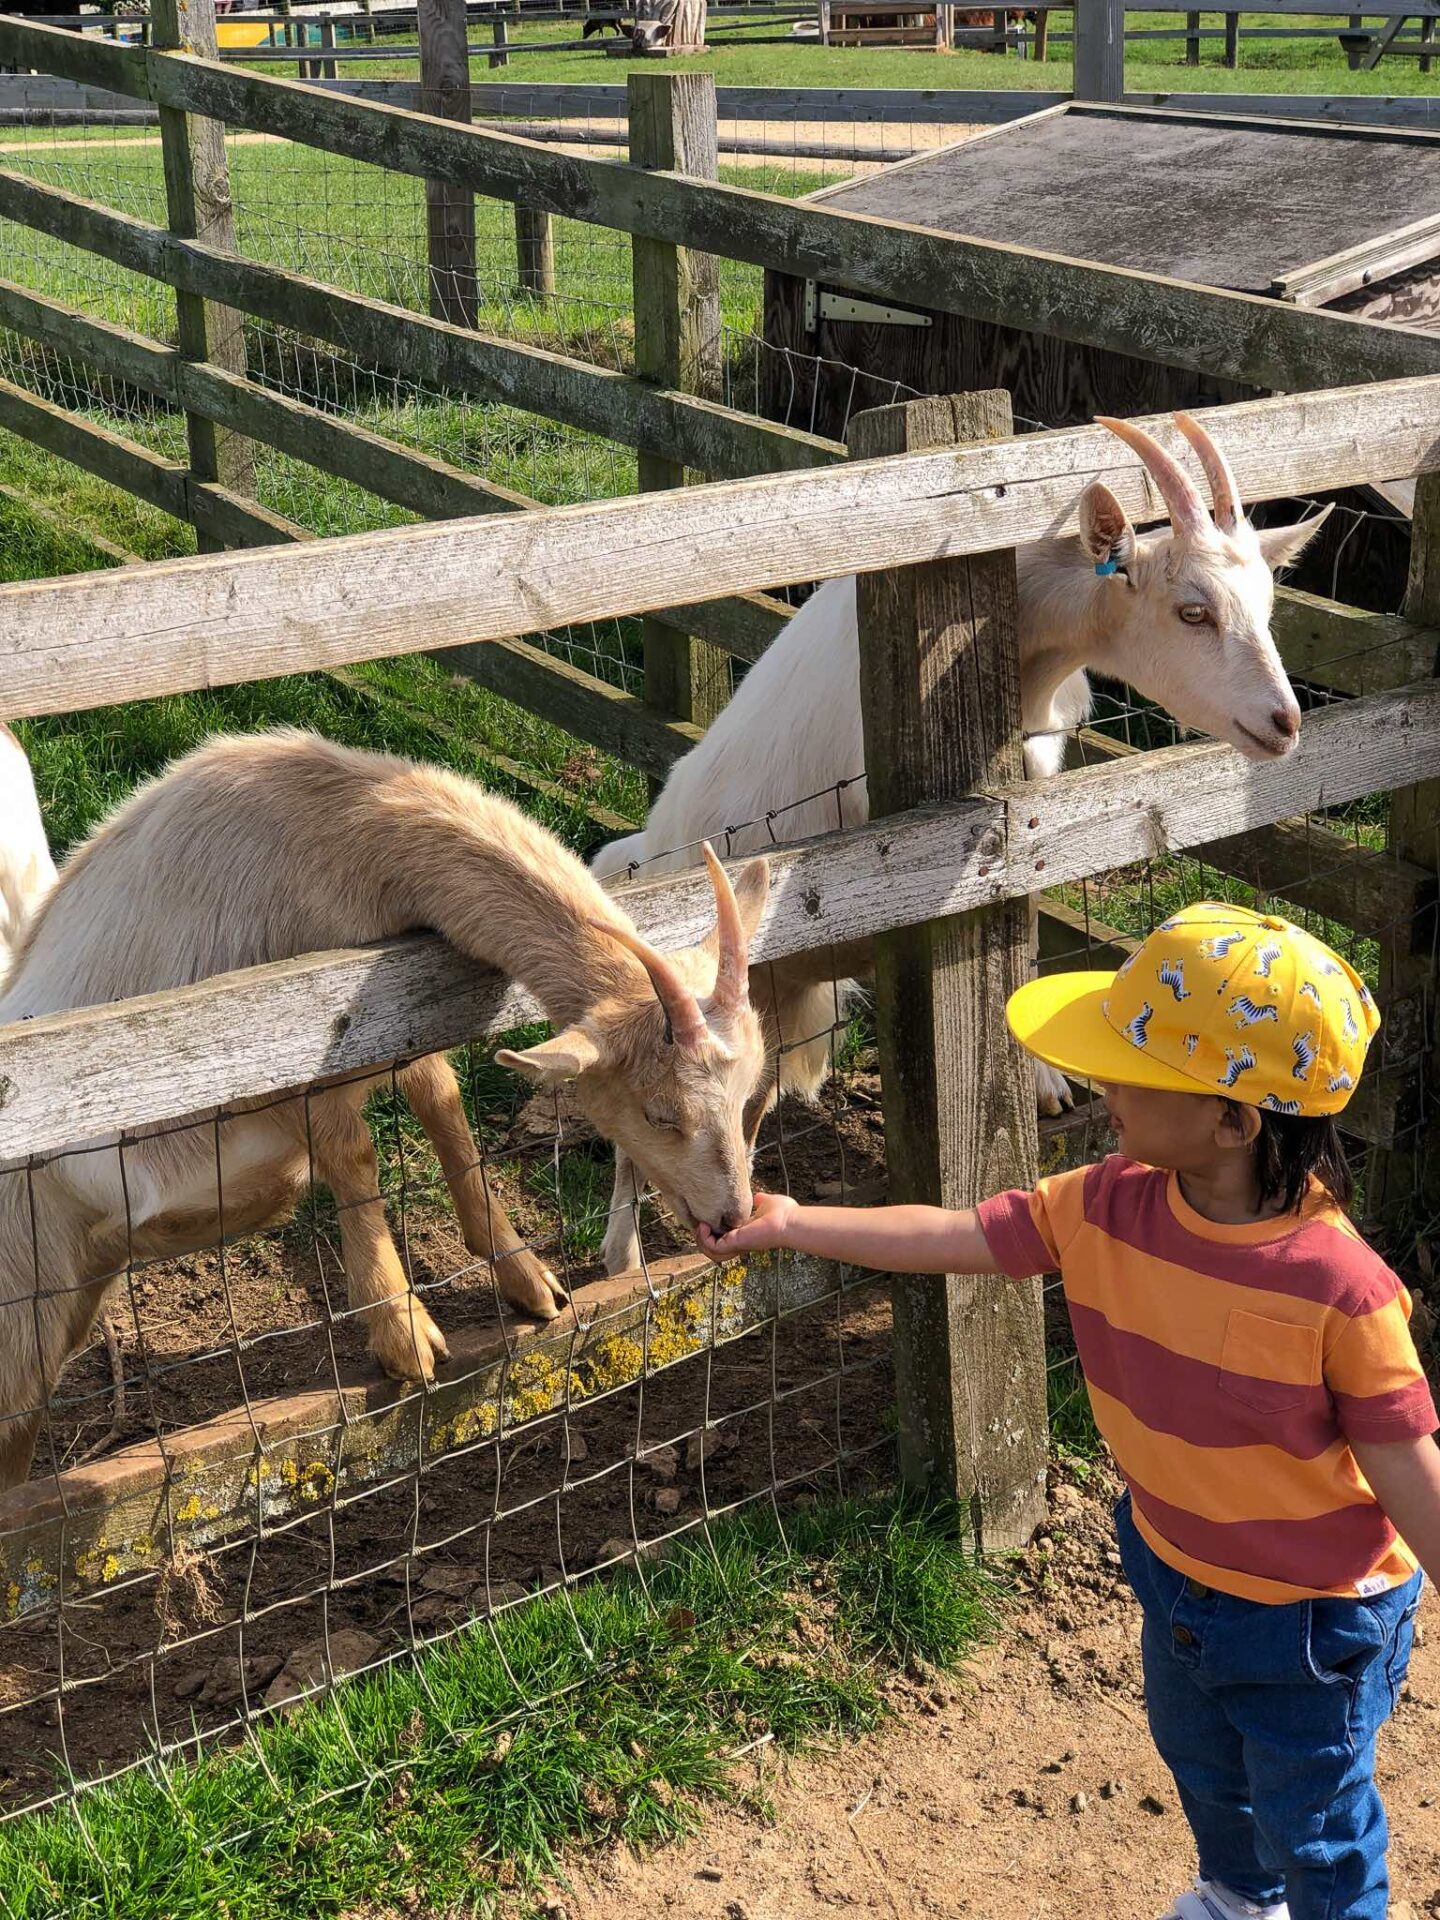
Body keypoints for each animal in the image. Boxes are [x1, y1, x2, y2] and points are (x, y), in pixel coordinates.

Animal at [0, 725, 779, 1489]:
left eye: (749, 1093)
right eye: (659, 1115)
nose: (731, 1217)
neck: (337, 822)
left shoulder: (398, 1020)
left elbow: (444, 1103)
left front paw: (529, 1280)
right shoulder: (297, 1046)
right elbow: (356, 1157)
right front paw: (404, 1331)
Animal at [595, 410, 1328, 1274]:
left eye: (1268, 603)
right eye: (1192, 611)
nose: (1284, 723)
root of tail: (652, 846)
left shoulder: (1032, 816)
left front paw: (1044, 1080)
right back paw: (622, 1254)